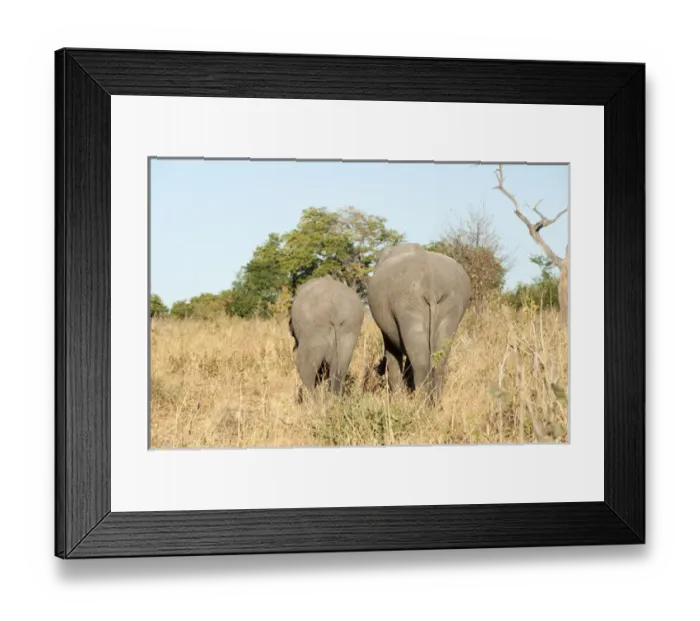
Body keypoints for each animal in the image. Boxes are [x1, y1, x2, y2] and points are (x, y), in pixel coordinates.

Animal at [367, 243, 472, 403]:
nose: (377, 369)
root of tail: (431, 283)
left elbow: (392, 350)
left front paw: (397, 401)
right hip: (453, 302)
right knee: (439, 358)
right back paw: (435, 404)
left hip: (407, 302)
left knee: (421, 361)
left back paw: (421, 404)